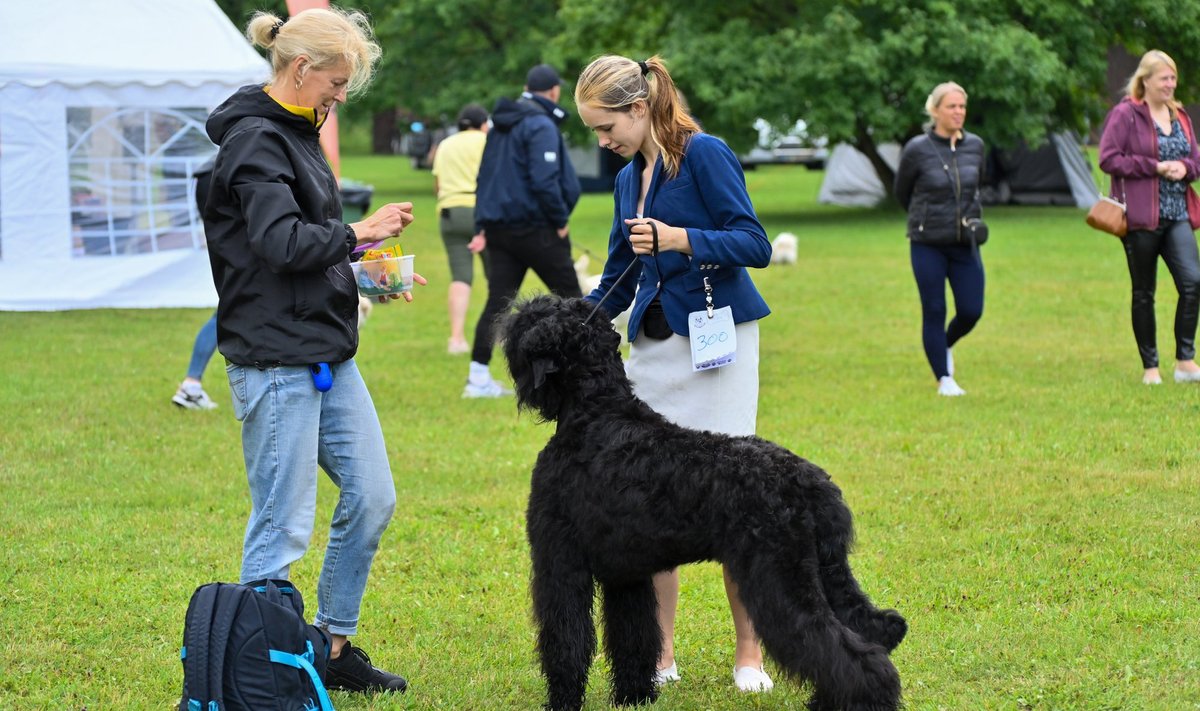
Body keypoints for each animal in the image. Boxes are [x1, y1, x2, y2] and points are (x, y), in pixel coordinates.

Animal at [501, 295, 902, 711]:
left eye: (531, 316)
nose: (506, 323)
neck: (596, 412)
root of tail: (813, 482)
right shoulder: (625, 573)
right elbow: (633, 637)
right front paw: (635, 696)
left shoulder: (560, 561)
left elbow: (566, 640)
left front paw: (562, 700)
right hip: (823, 573)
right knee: (862, 632)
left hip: (782, 579)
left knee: (848, 652)